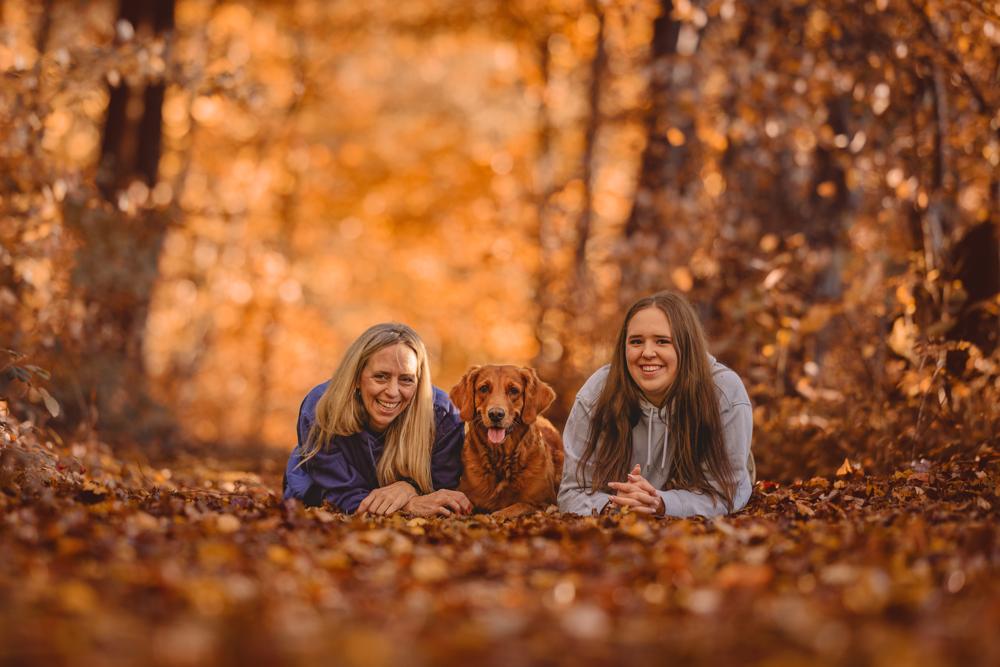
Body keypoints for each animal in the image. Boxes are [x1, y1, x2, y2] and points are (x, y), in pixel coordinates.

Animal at [452, 366, 564, 516]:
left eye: (514, 390)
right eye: (484, 388)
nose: (495, 414)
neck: (501, 457)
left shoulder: (543, 501)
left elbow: (516, 507)